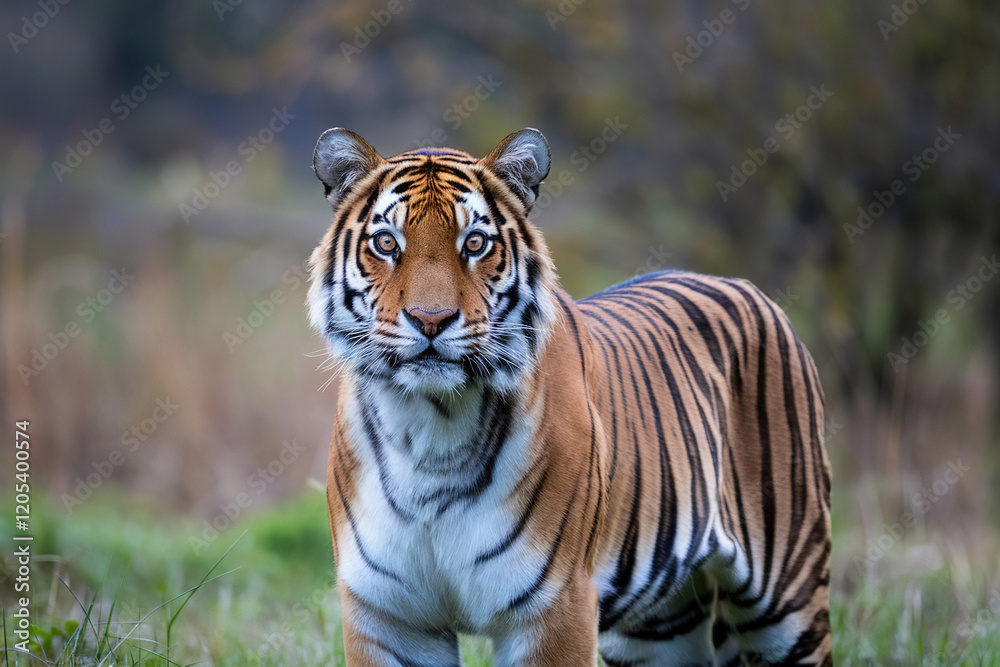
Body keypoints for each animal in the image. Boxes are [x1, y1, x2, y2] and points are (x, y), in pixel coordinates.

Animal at [306, 127, 831, 666]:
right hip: (658, 631)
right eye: (386, 242)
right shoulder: (389, 617)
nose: (431, 320)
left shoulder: (556, 606)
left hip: (787, 598)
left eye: (474, 242)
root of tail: (745, 286)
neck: (431, 425)